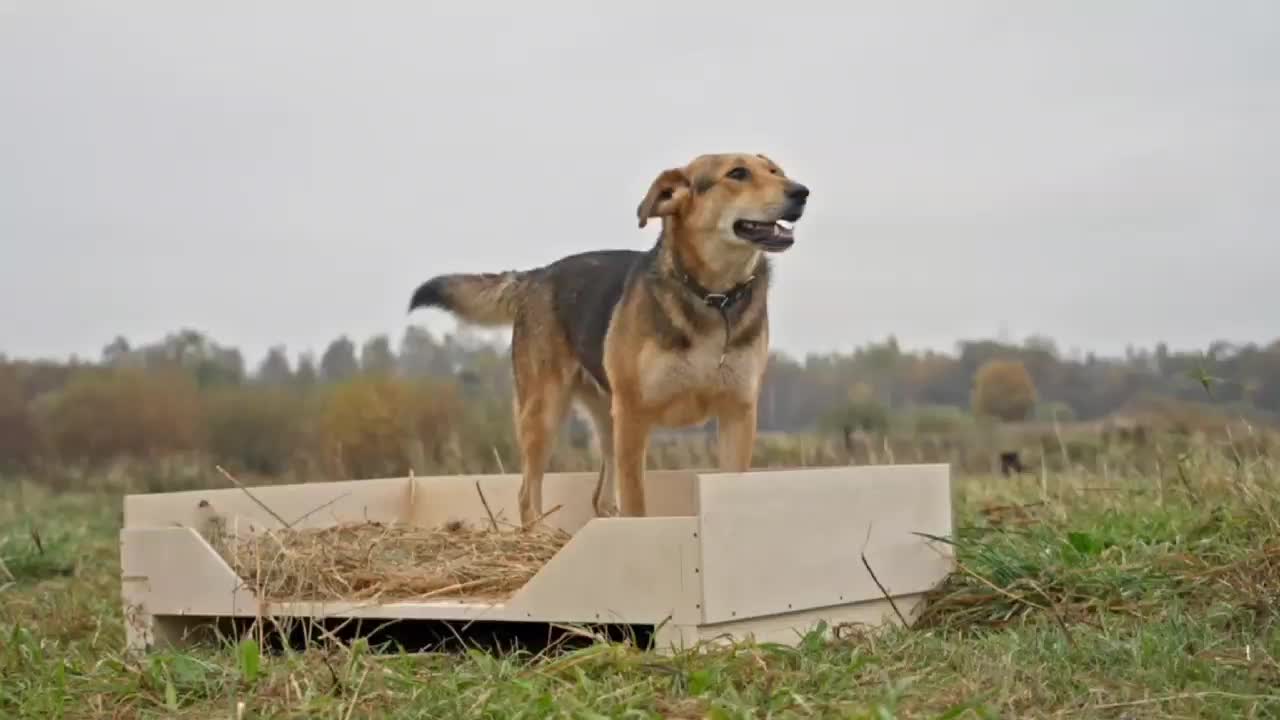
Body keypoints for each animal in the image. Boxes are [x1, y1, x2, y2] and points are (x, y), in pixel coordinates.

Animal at [409, 151, 808, 525]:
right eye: (738, 173)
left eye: (776, 171)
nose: (802, 192)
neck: (713, 297)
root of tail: (536, 276)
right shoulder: (634, 415)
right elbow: (636, 504)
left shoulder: (737, 414)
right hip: (545, 412)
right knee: (527, 492)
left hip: (606, 417)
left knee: (599, 497)